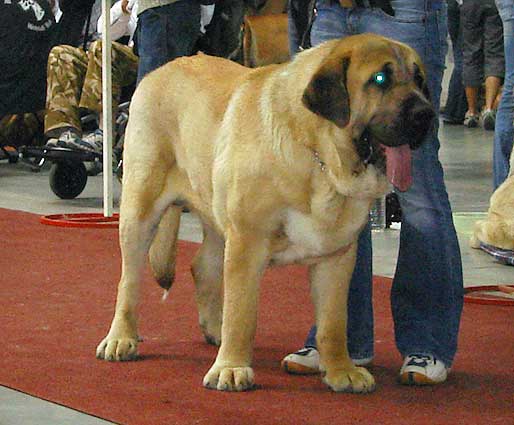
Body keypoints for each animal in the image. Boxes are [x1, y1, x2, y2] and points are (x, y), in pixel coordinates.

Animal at [96, 34, 432, 394]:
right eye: (380, 79)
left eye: (419, 79)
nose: (426, 114)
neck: (318, 157)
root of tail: (158, 71)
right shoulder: (247, 243)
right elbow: (242, 314)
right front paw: (231, 368)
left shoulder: (336, 257)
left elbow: (333, 323)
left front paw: (341, 371)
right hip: (140, 209)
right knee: (129, 280)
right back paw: (121, 339)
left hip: (216, 213)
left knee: (203, 267)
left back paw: (213, 328)